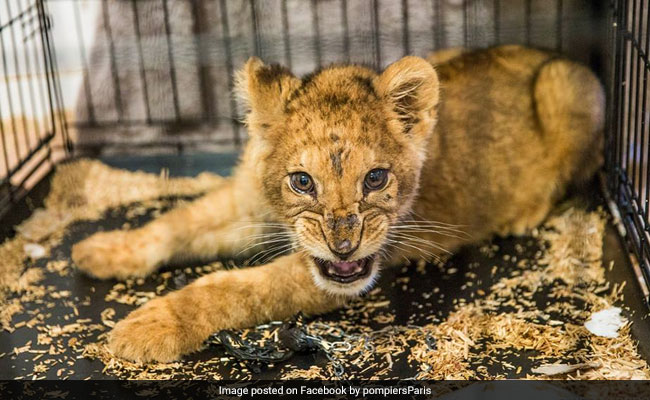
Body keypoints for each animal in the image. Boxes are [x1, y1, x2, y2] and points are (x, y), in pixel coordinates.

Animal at [71, 45, 604, 362]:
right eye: (302, 182)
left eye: (376, 178)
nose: (343, 247)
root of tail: (550, 52)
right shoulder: (244, 203)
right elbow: (176, 222)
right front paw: (104, 250)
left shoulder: (334, 277)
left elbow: (232, 288)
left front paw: (150, 326)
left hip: (571, 87)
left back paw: (521, 215)